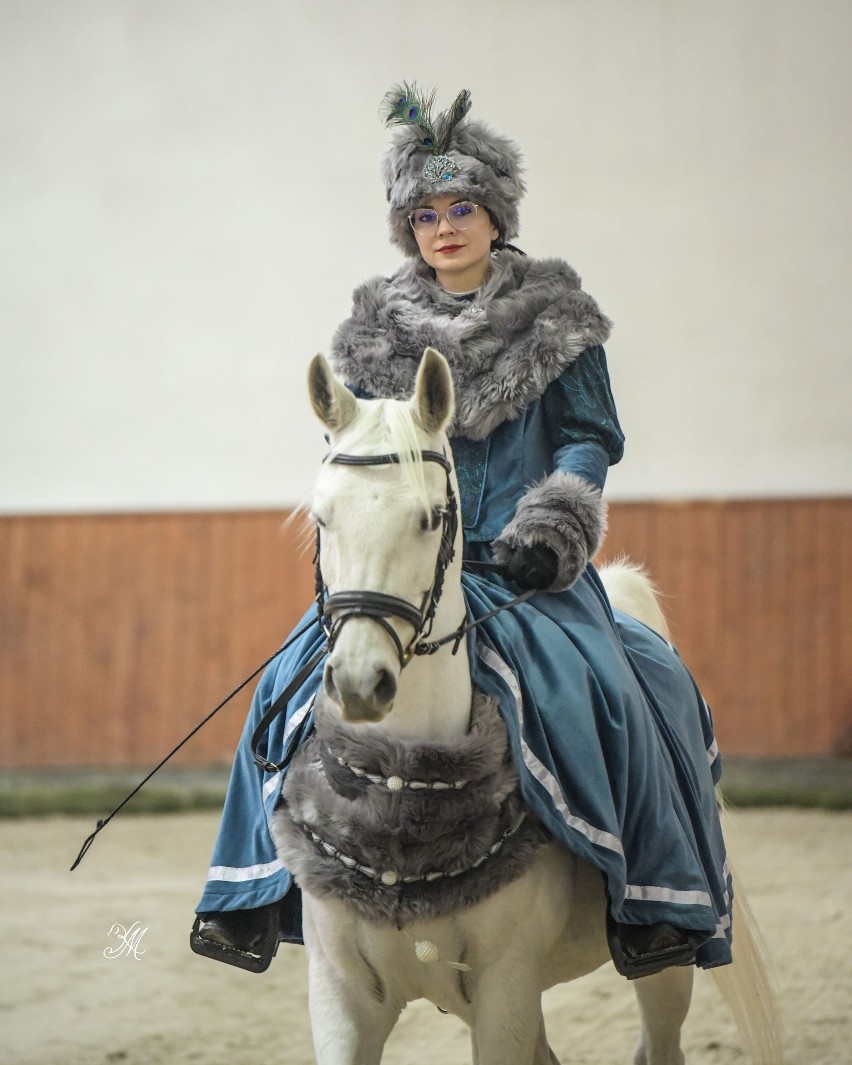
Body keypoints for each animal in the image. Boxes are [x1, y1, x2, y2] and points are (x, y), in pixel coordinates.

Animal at [274, 349, 783, 1065]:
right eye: (323, 519)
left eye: (431, 518)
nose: (357, 681)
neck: (401, 787)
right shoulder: (341, 997)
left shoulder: (506, 992)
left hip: (668, 969)